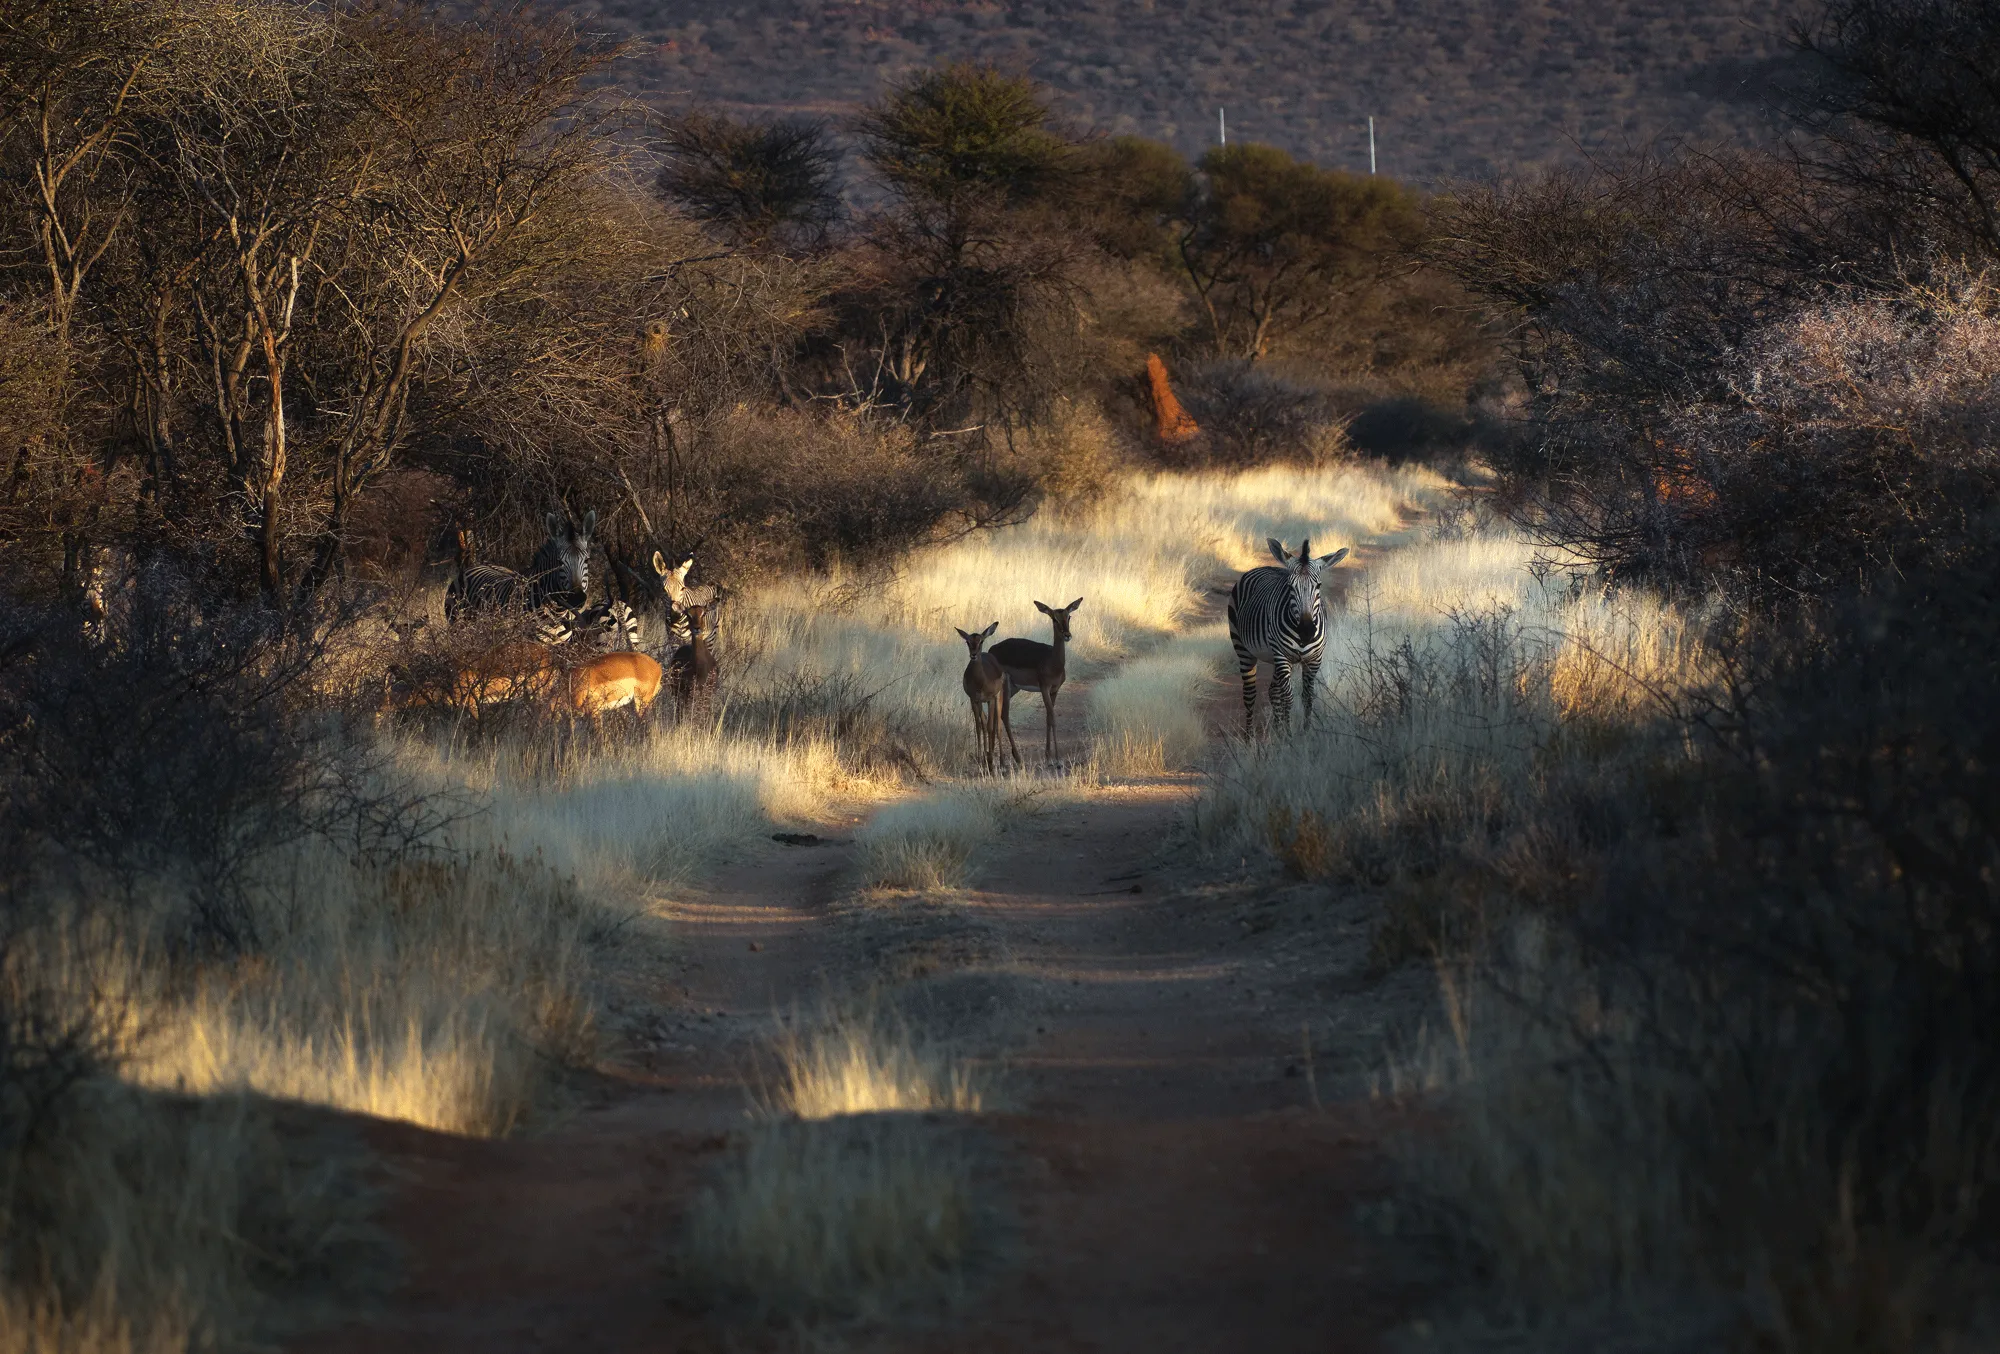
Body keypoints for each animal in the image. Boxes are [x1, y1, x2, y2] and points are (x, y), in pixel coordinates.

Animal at [952, 624, 1016, 772]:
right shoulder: (974, 700)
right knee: (985, 722)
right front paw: (981, 758)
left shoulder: (991, 698)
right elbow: (978, 726)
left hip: (997, 698)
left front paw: (991, 761)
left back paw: (1001, 762)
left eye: (981, 641)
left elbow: (990, 727)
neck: (980, 681)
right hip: (982, 702)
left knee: (997, 726)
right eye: (968, 641)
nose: (974, 655)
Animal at [988, 596, 1080, 764]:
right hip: (1005, 688)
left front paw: (1048, 754)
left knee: (998, 714)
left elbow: (1048, 718)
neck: (1053, 662)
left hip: (1014, 688)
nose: (1067, 635)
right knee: (1004, 714)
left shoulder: (1055, 690)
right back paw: (1016, 757)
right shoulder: (1044, 688)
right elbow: (1053, 718)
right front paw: (1057, 758)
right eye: (1054, 618)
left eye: (1069, 616)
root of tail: (992, 650)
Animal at [1224, 536, 1352, 740]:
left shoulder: (1314, 659)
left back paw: (1277, 731)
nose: (1306, 631)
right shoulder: (1283, 656)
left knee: (1273, 691)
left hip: (1275, 658)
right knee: (1251, 694)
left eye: (1318, 586)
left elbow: (1308, 696)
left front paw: (1305, 732)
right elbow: (1288, 697)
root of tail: (1264, 566)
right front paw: (1289, 733)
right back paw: (1249, 738)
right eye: (1290, 587)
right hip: (1244, 649)